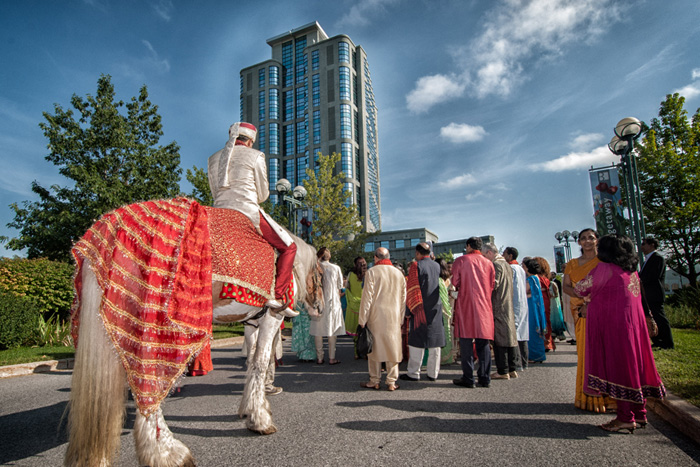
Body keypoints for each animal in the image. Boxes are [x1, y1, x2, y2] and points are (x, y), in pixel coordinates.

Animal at [61, 199, 318, 466]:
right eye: (320, 275)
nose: (318, 306)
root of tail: (106, 225)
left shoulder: (250, 324)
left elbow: (251, 361)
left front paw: (248, 408)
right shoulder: (271, 317)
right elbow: (260, 362)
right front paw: (260, 419)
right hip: (152, 324)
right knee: (146, 382)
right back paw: (166, 452)